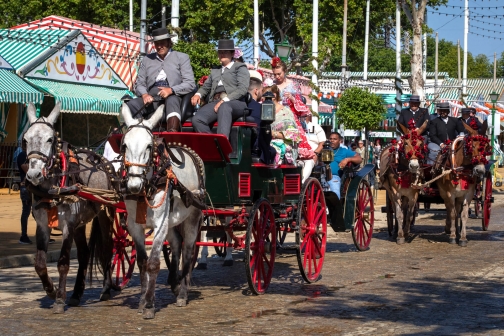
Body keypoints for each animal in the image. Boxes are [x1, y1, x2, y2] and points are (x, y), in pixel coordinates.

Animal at [24, 103, 115, 314]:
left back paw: (106, 290)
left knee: (108, 248)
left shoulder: (68, 226)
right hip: (80, 224)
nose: (33, 175)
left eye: (50, 139)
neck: (53, 187)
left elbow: (64, 263)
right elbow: (40, 264)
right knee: (84, 254)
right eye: (25, 139)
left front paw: (59, 300)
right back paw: (76, 294)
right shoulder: (43, 225)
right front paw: (51, 290)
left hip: (104, 215)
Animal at [120, 103, 205, 318]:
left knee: (188, 250)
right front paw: (142, 300)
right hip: (173, 221)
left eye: (149, 147)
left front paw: (150, 304)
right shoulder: (134, 225)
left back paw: (182, 293)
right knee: (175, 245)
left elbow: (153, 263)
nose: (134, 185)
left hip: (193, 217)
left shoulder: (160, 224)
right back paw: (175, 284)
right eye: (124, 146)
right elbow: (142, 262)